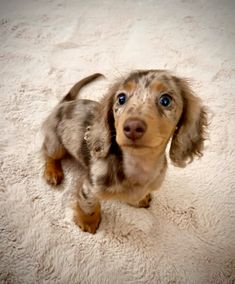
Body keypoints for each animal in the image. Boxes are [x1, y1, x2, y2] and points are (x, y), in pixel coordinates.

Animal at [42, 70, 207, 233]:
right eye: (121, 98)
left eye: (165, 100)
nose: (132, 127)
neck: (138, 165)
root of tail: (63, 104)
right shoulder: (89, 188)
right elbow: (89, 205)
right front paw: (88, 222)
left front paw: (140, 199)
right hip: (56, 145)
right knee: (47, 153)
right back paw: (53, 172)